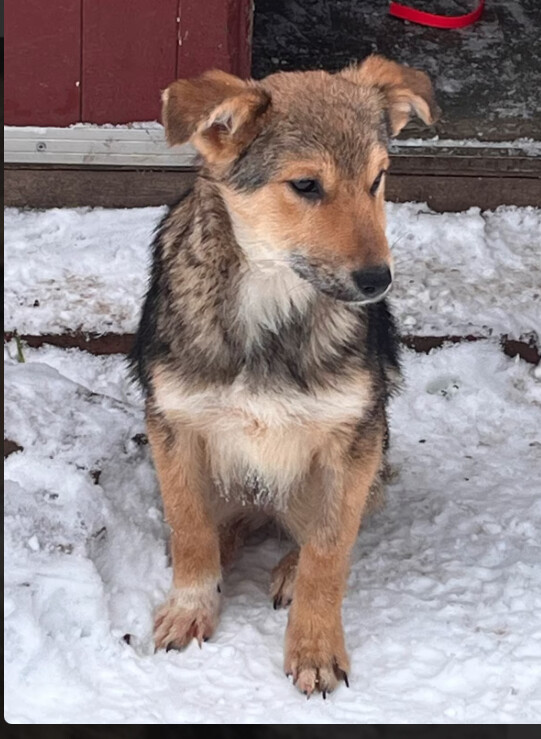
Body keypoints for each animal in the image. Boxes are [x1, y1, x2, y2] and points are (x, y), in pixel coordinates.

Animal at [130, 55, 438, 697]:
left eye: (377, 179)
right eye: (305, 186)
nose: (378, 281)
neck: (271, 297)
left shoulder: (354, 438)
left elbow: (329, 551)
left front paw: (315, 647)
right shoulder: (174, 423)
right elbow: (189, 526)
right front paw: (192, 605)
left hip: (367, 460)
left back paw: (289, 569)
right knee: (216, 525)